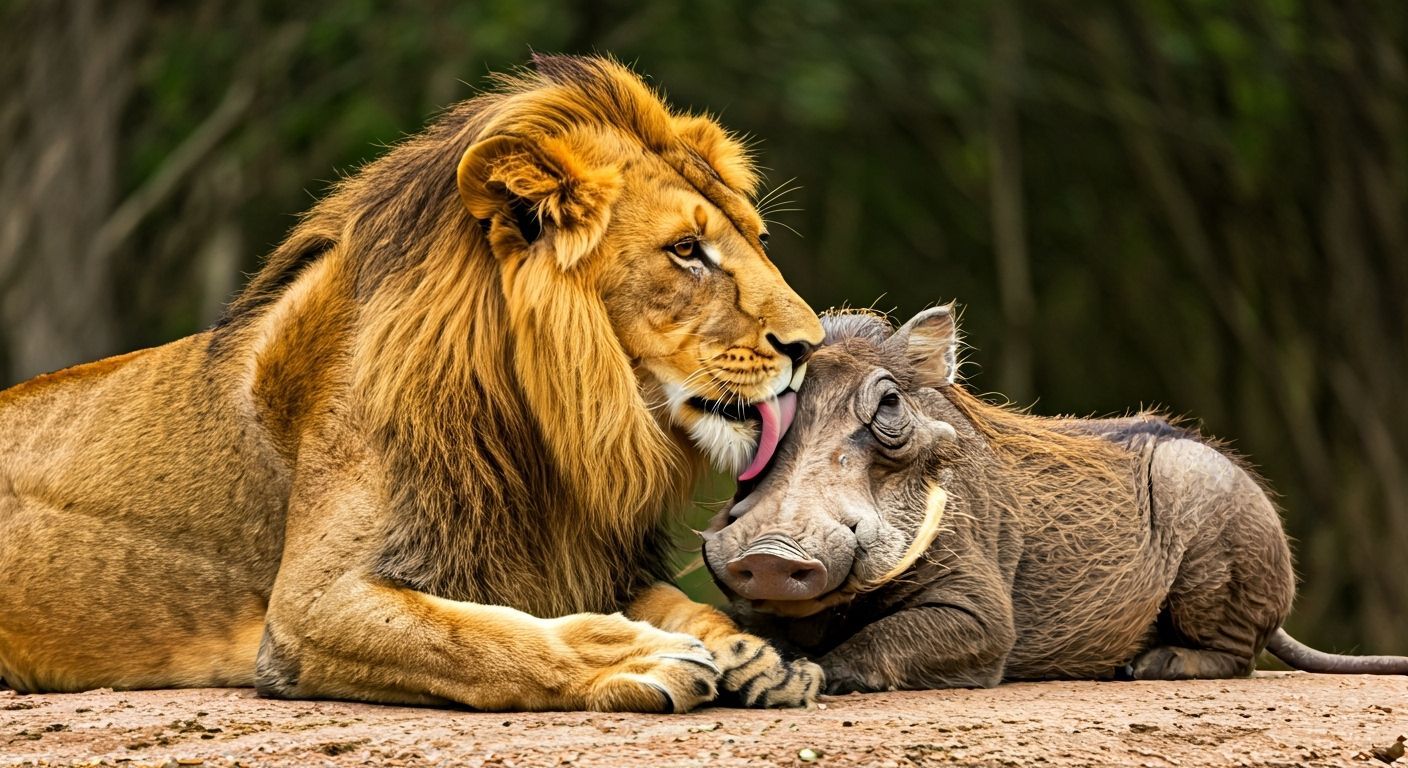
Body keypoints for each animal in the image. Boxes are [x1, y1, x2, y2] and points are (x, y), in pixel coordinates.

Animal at [0, 55, 826, 712]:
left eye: (755, 238)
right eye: (686, 250)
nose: (809, 347)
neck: (545, 432)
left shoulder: (582, 561)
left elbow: (678, 602)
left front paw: (755, 655)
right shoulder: (308, 608)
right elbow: (479, 639)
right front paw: (634, 654)